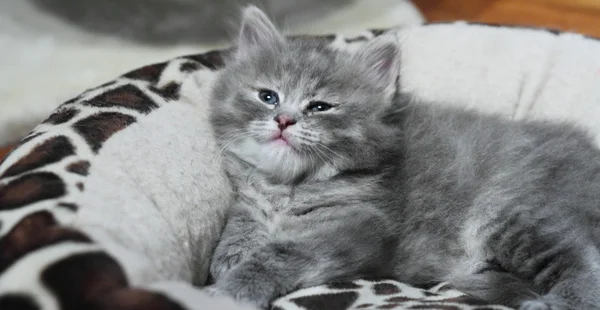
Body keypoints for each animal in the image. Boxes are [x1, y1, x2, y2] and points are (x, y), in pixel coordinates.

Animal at [205, 5, 600, 310]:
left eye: (319, 107)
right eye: (268, 96)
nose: (284, 120)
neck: (287, 185)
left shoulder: (356, 225)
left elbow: (282, 253)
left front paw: (233, 288)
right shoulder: (249, 199)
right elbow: (241, 221)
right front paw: (230, 255)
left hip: (515, 209)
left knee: (583, 260)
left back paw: (558, 302)